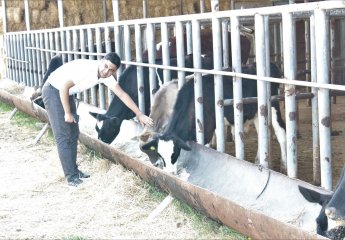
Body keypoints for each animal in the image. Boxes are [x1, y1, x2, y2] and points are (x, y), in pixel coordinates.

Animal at [138, 62, 286, 173]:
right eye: (160, 154)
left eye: (174, 154)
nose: (169, 172)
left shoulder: (207, 130)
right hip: (256, 114)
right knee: (263, 135)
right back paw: (258, 161)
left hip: (273, 106)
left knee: (281, 132)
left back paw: (284, 167)